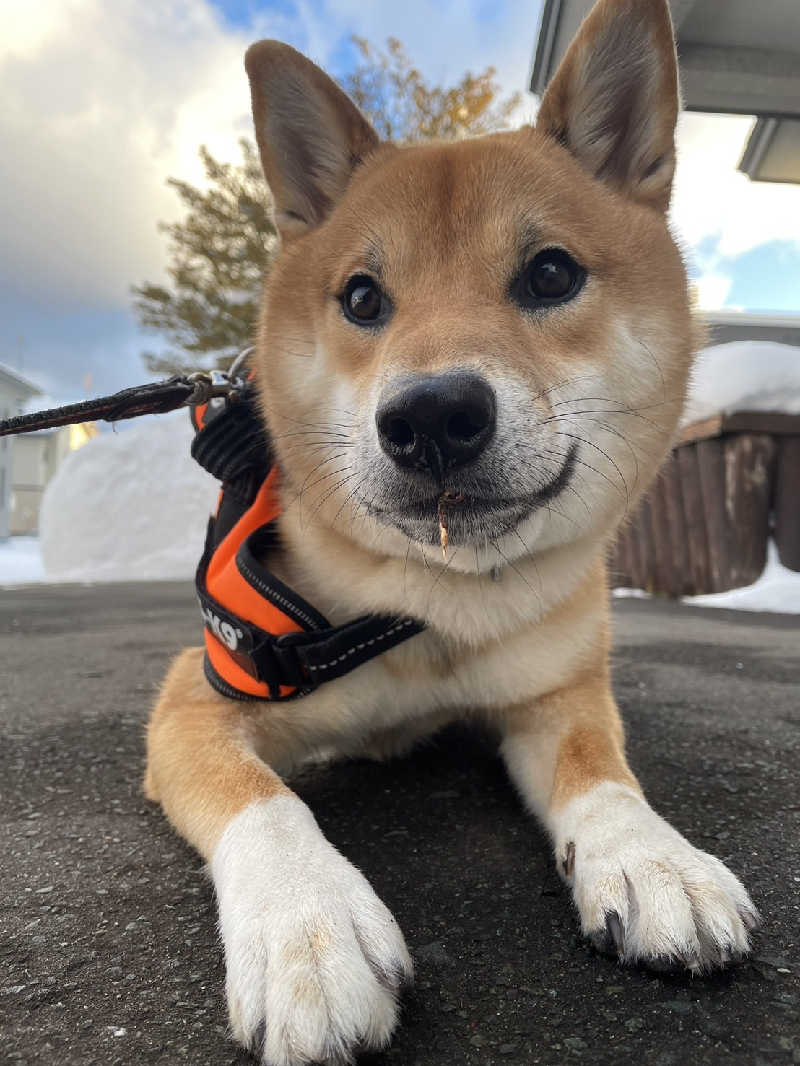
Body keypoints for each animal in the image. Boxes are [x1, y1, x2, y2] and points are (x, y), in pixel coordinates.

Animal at [146, 4, 763, 1061]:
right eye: (362, 298)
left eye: (551, 273)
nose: (432, 416)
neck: (439, 605)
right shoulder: (201, 695)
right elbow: (263, 803)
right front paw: (309, 926)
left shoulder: (558, 690)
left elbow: (603, 775)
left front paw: (653, 859)